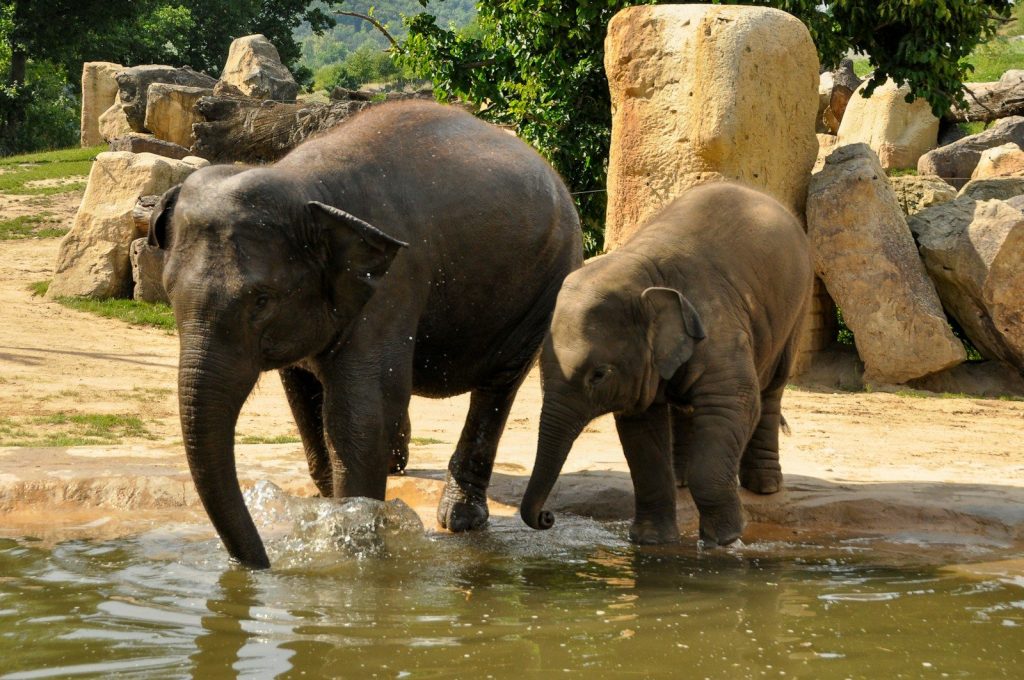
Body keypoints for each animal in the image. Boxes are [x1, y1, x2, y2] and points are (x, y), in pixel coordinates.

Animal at [150, 100, 583, 568]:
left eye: (261, 300)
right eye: (169, 291)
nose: (260, 564)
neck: (304, 185)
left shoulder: (394, 281)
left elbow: (359, 413)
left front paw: (353, 546)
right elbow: (305, 401)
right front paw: (327, 511)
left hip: (547, 284)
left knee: (498, 387)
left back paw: (460, 519)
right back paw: (397, 466)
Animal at [519, 182, 812, 548]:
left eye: (598, 375)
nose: (546, 517)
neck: (641, 272)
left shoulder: (719, 327)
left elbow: (732, 404)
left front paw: (724, 541)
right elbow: (642, 434)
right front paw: (651, 541)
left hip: (797, 309)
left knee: (771, 389)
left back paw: (765, 486)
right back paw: (680, 479)